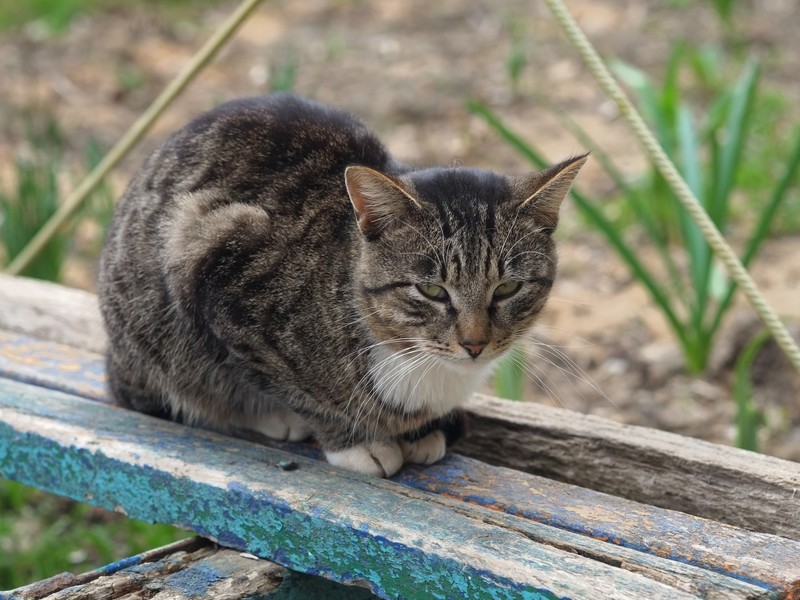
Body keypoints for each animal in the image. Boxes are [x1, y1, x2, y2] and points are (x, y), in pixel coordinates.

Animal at [98, 94, 588, 478]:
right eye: (432, 291)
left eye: (506, 289)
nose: (475, 344)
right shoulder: (223, 277)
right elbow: (297, 389)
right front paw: (356, 441)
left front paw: (423, 431)